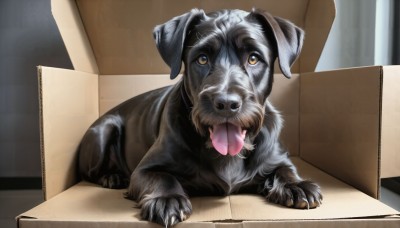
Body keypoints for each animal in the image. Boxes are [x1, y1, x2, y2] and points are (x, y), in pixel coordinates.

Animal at [78, 8, 322, 227]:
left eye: (253, 58)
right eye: (202, 59)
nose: (226, 103)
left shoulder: (278, 158)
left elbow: (286, 170)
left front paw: (297, 186)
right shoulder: (143, 170)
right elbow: (162, 177)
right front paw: (167, 199)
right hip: (104, 131)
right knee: (91, 172)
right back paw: (112, 176)